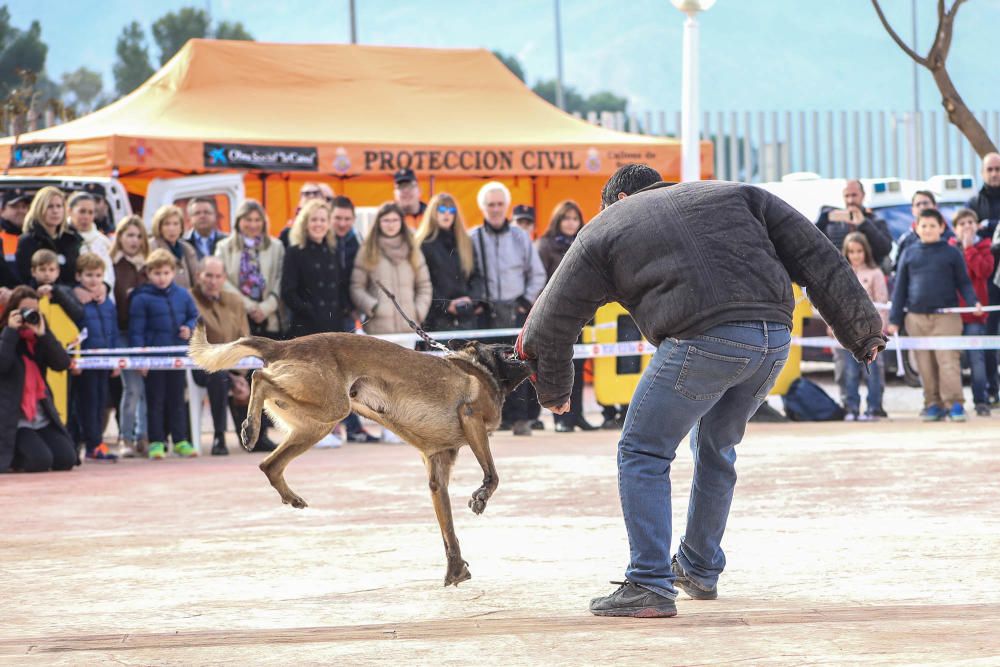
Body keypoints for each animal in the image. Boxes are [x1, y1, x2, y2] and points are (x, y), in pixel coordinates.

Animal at [188, 326, 532, 588]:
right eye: (507, 348)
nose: (527, 349)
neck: (481, 369)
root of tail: (284, 344)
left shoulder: (437, 473)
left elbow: (448, 532)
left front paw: (455, 568)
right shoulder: (471, 417)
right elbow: (493, 474)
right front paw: (482, 496)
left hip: (316, 422)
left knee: (269, 465)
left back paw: (288, 490)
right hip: (332, 405)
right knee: (258, 376)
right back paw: (250, 427)